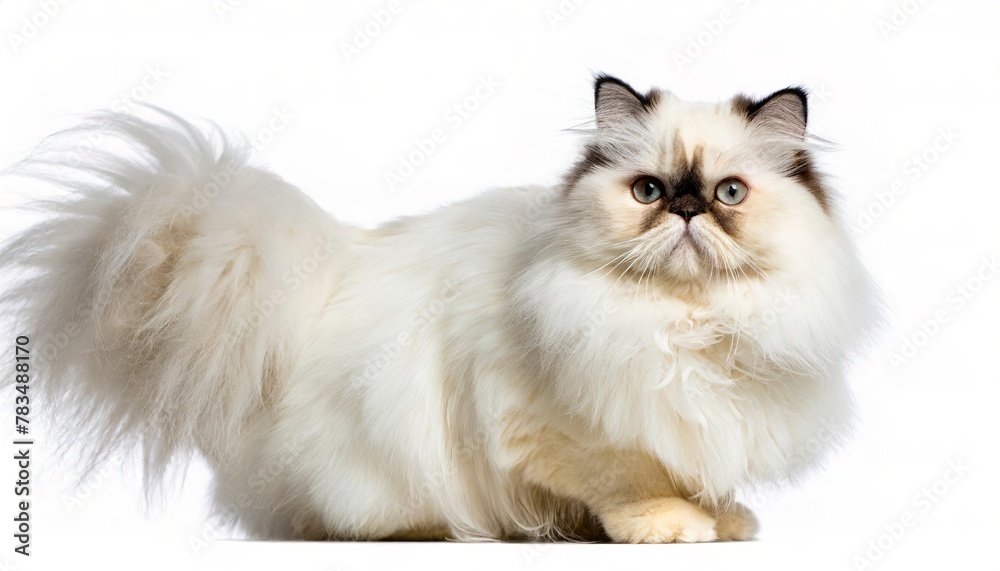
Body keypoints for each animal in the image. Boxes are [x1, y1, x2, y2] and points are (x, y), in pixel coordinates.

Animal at [0, 73, 876, 544]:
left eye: (728, 193)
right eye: (649, 191)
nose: (688, 210)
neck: (683, 322)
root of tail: (318, 285)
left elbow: (697, 474)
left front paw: (725, 519)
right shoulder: (559, 428)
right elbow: (629, 478)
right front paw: (667, 524)